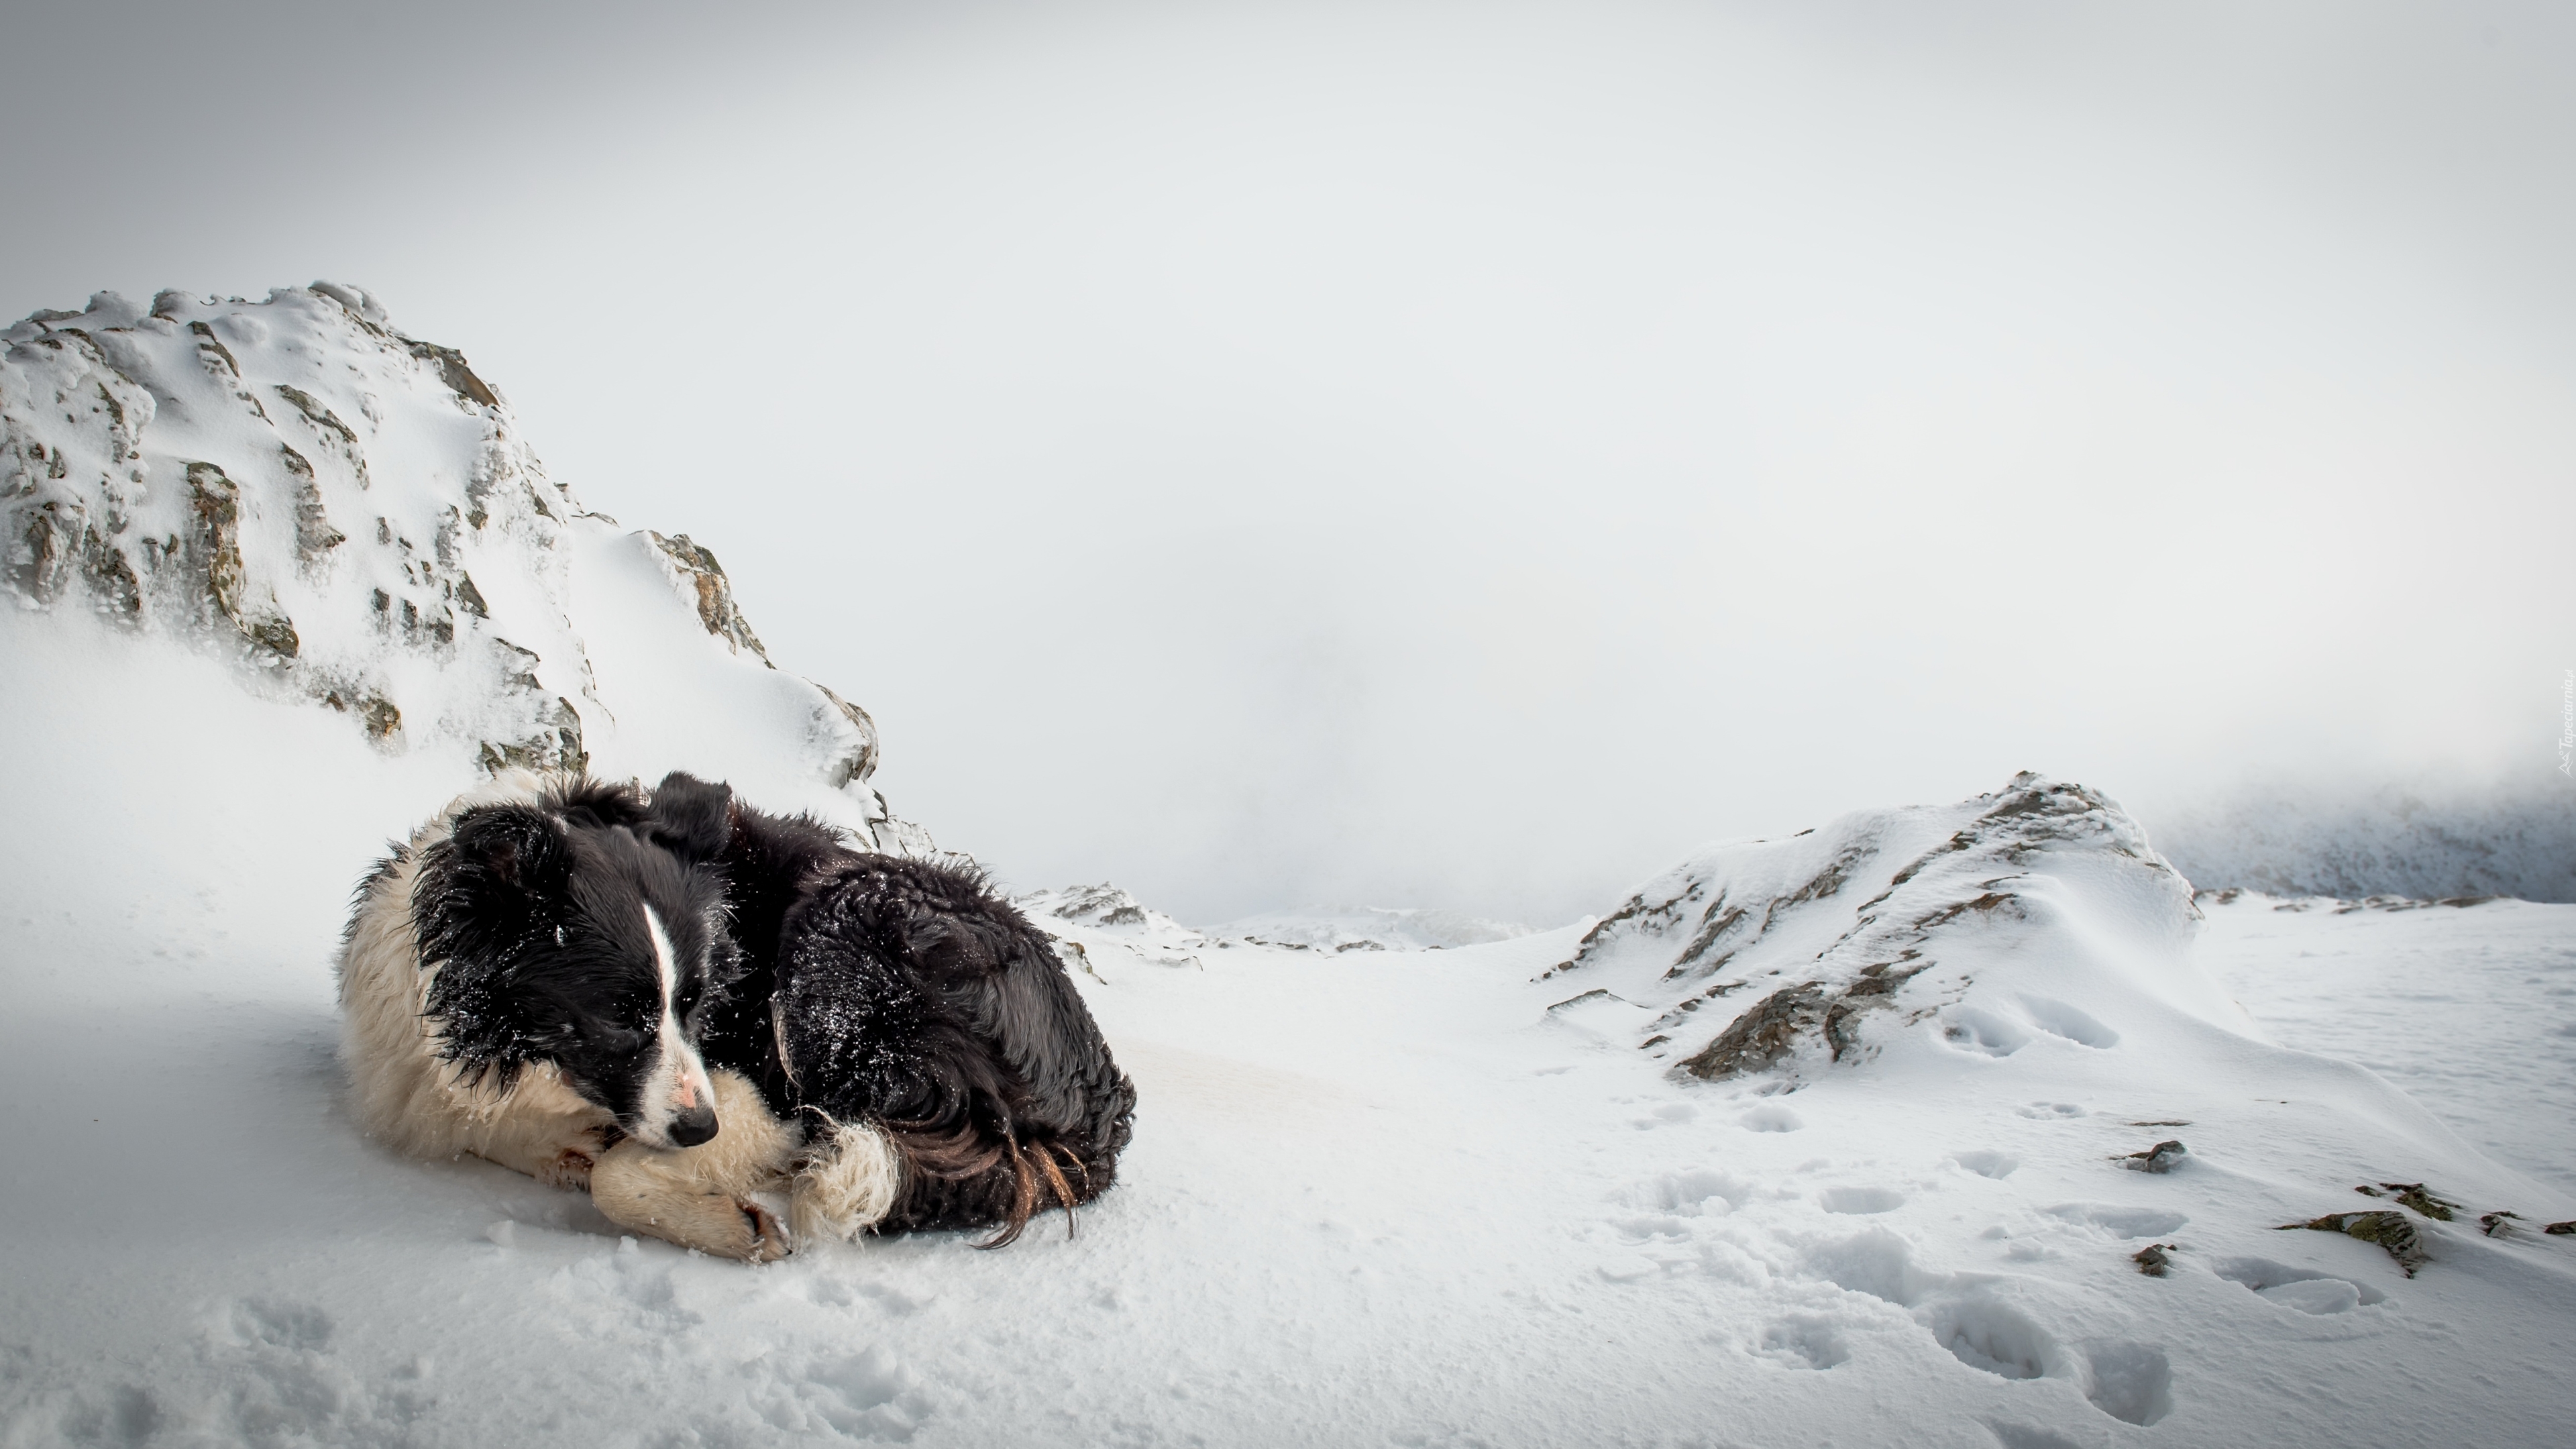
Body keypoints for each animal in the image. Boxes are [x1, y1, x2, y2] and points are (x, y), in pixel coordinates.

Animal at [339, 768, 1138, 1252]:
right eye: (619, 1016)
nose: (701, 1128)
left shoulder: (762, 1088)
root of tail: (1101, 1106)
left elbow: (616, 1178)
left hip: (840, 924)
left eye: (699, 1004)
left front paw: (727, 1223)